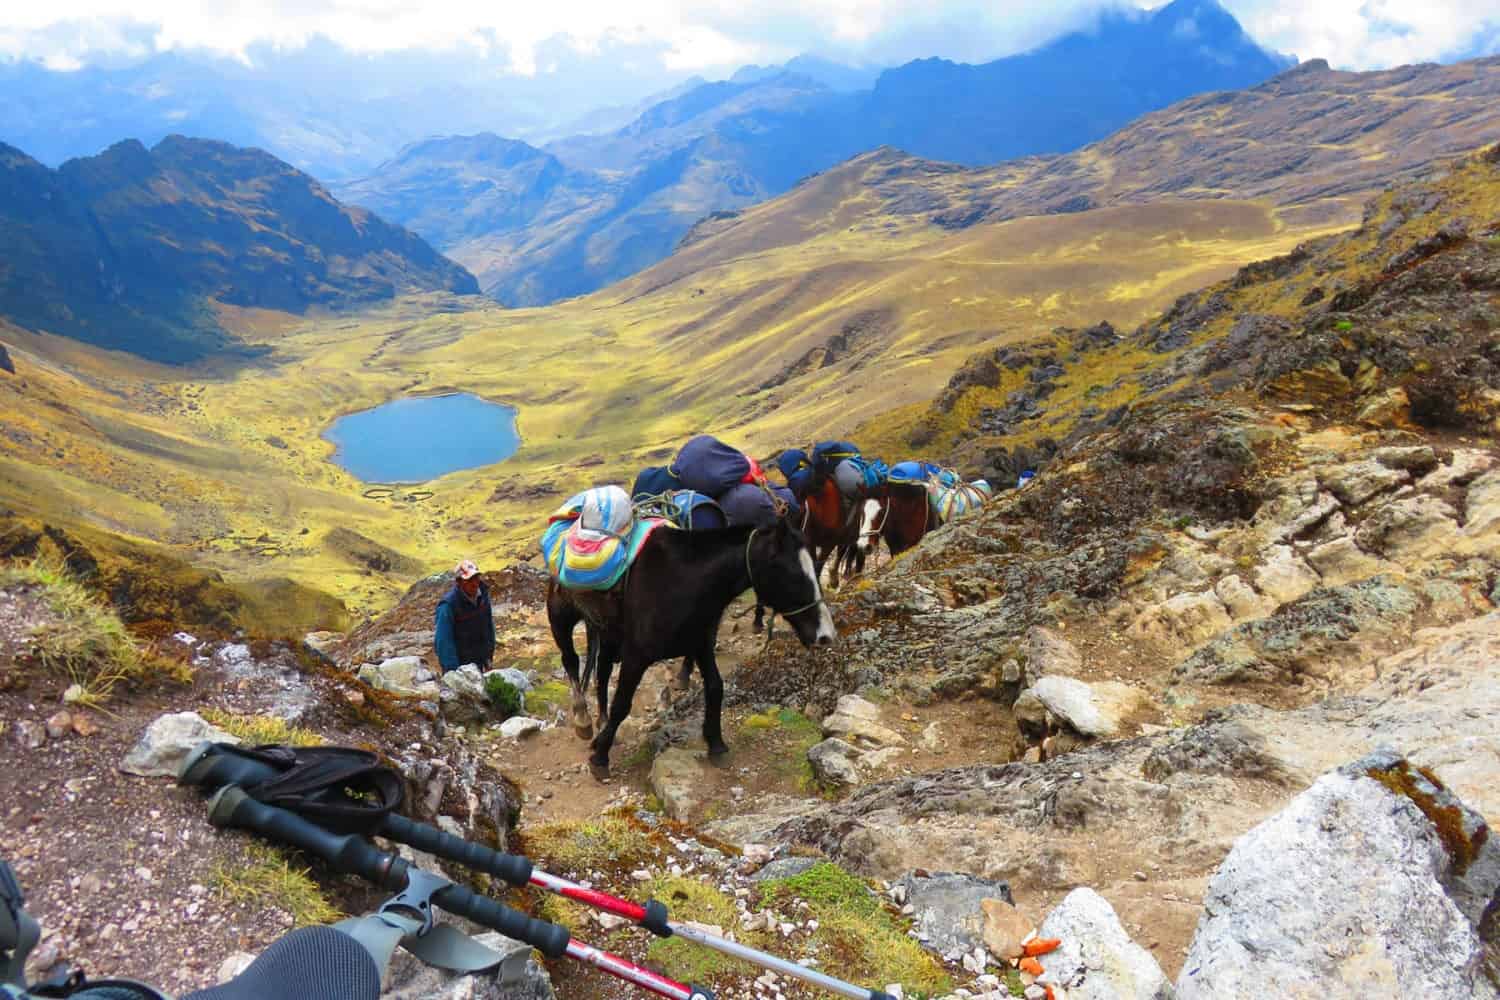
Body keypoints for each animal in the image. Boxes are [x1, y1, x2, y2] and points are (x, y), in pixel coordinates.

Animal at [549, 521, 834, 779]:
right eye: (792, 574)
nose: (825, 636)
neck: (684, 582)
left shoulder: (700, 645)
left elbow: (715, 688)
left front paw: (716, 744)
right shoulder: (636, 657)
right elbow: (622, 704)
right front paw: (600, 759)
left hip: (606, 634)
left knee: (602, 673)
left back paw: (599, 727)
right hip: (561, 618)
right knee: (571, 661)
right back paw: (584, 721)